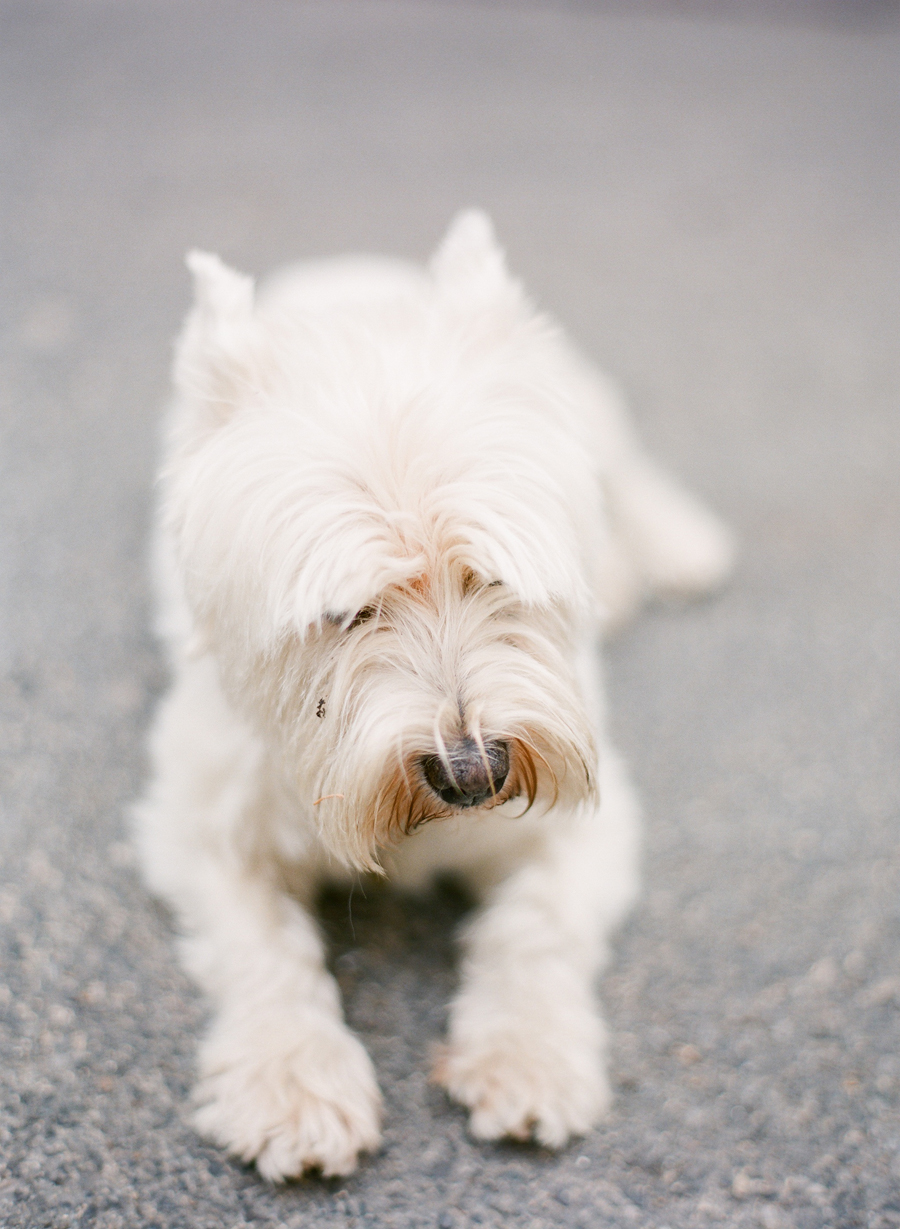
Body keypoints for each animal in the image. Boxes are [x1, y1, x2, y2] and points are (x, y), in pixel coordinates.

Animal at [135, 213, 737, 1179]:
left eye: (491, 574)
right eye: (345, 611)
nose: (474, 773)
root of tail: (345, 264)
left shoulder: (585, 821)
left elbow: (535, 925)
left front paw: (529, 1056)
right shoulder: (199, 827)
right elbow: (263, 950)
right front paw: (294, 1085)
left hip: (581, 397)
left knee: (623, 465)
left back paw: (676, 543)